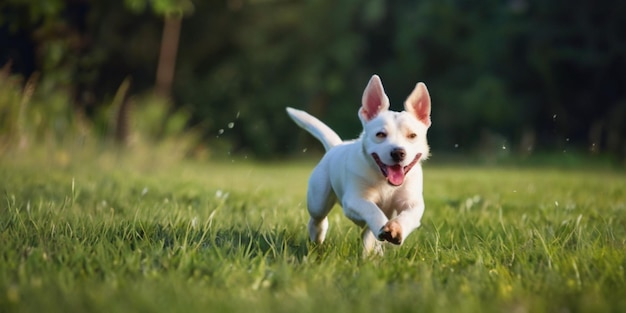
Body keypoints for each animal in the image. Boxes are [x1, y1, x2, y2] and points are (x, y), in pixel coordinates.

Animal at [286, 75, 428, 254]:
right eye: (380, 134)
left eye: (412, 135)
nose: (398, 153)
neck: (384, 181)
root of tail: (335, 146)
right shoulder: (354, 200)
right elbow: (372, 209)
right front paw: (383, 226)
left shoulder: (412, 202)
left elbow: (409, 215)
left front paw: (396, 228)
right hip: (318, 198)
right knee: (318, 219)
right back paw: (317, 240)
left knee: (368, 236)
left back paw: (371, 254)